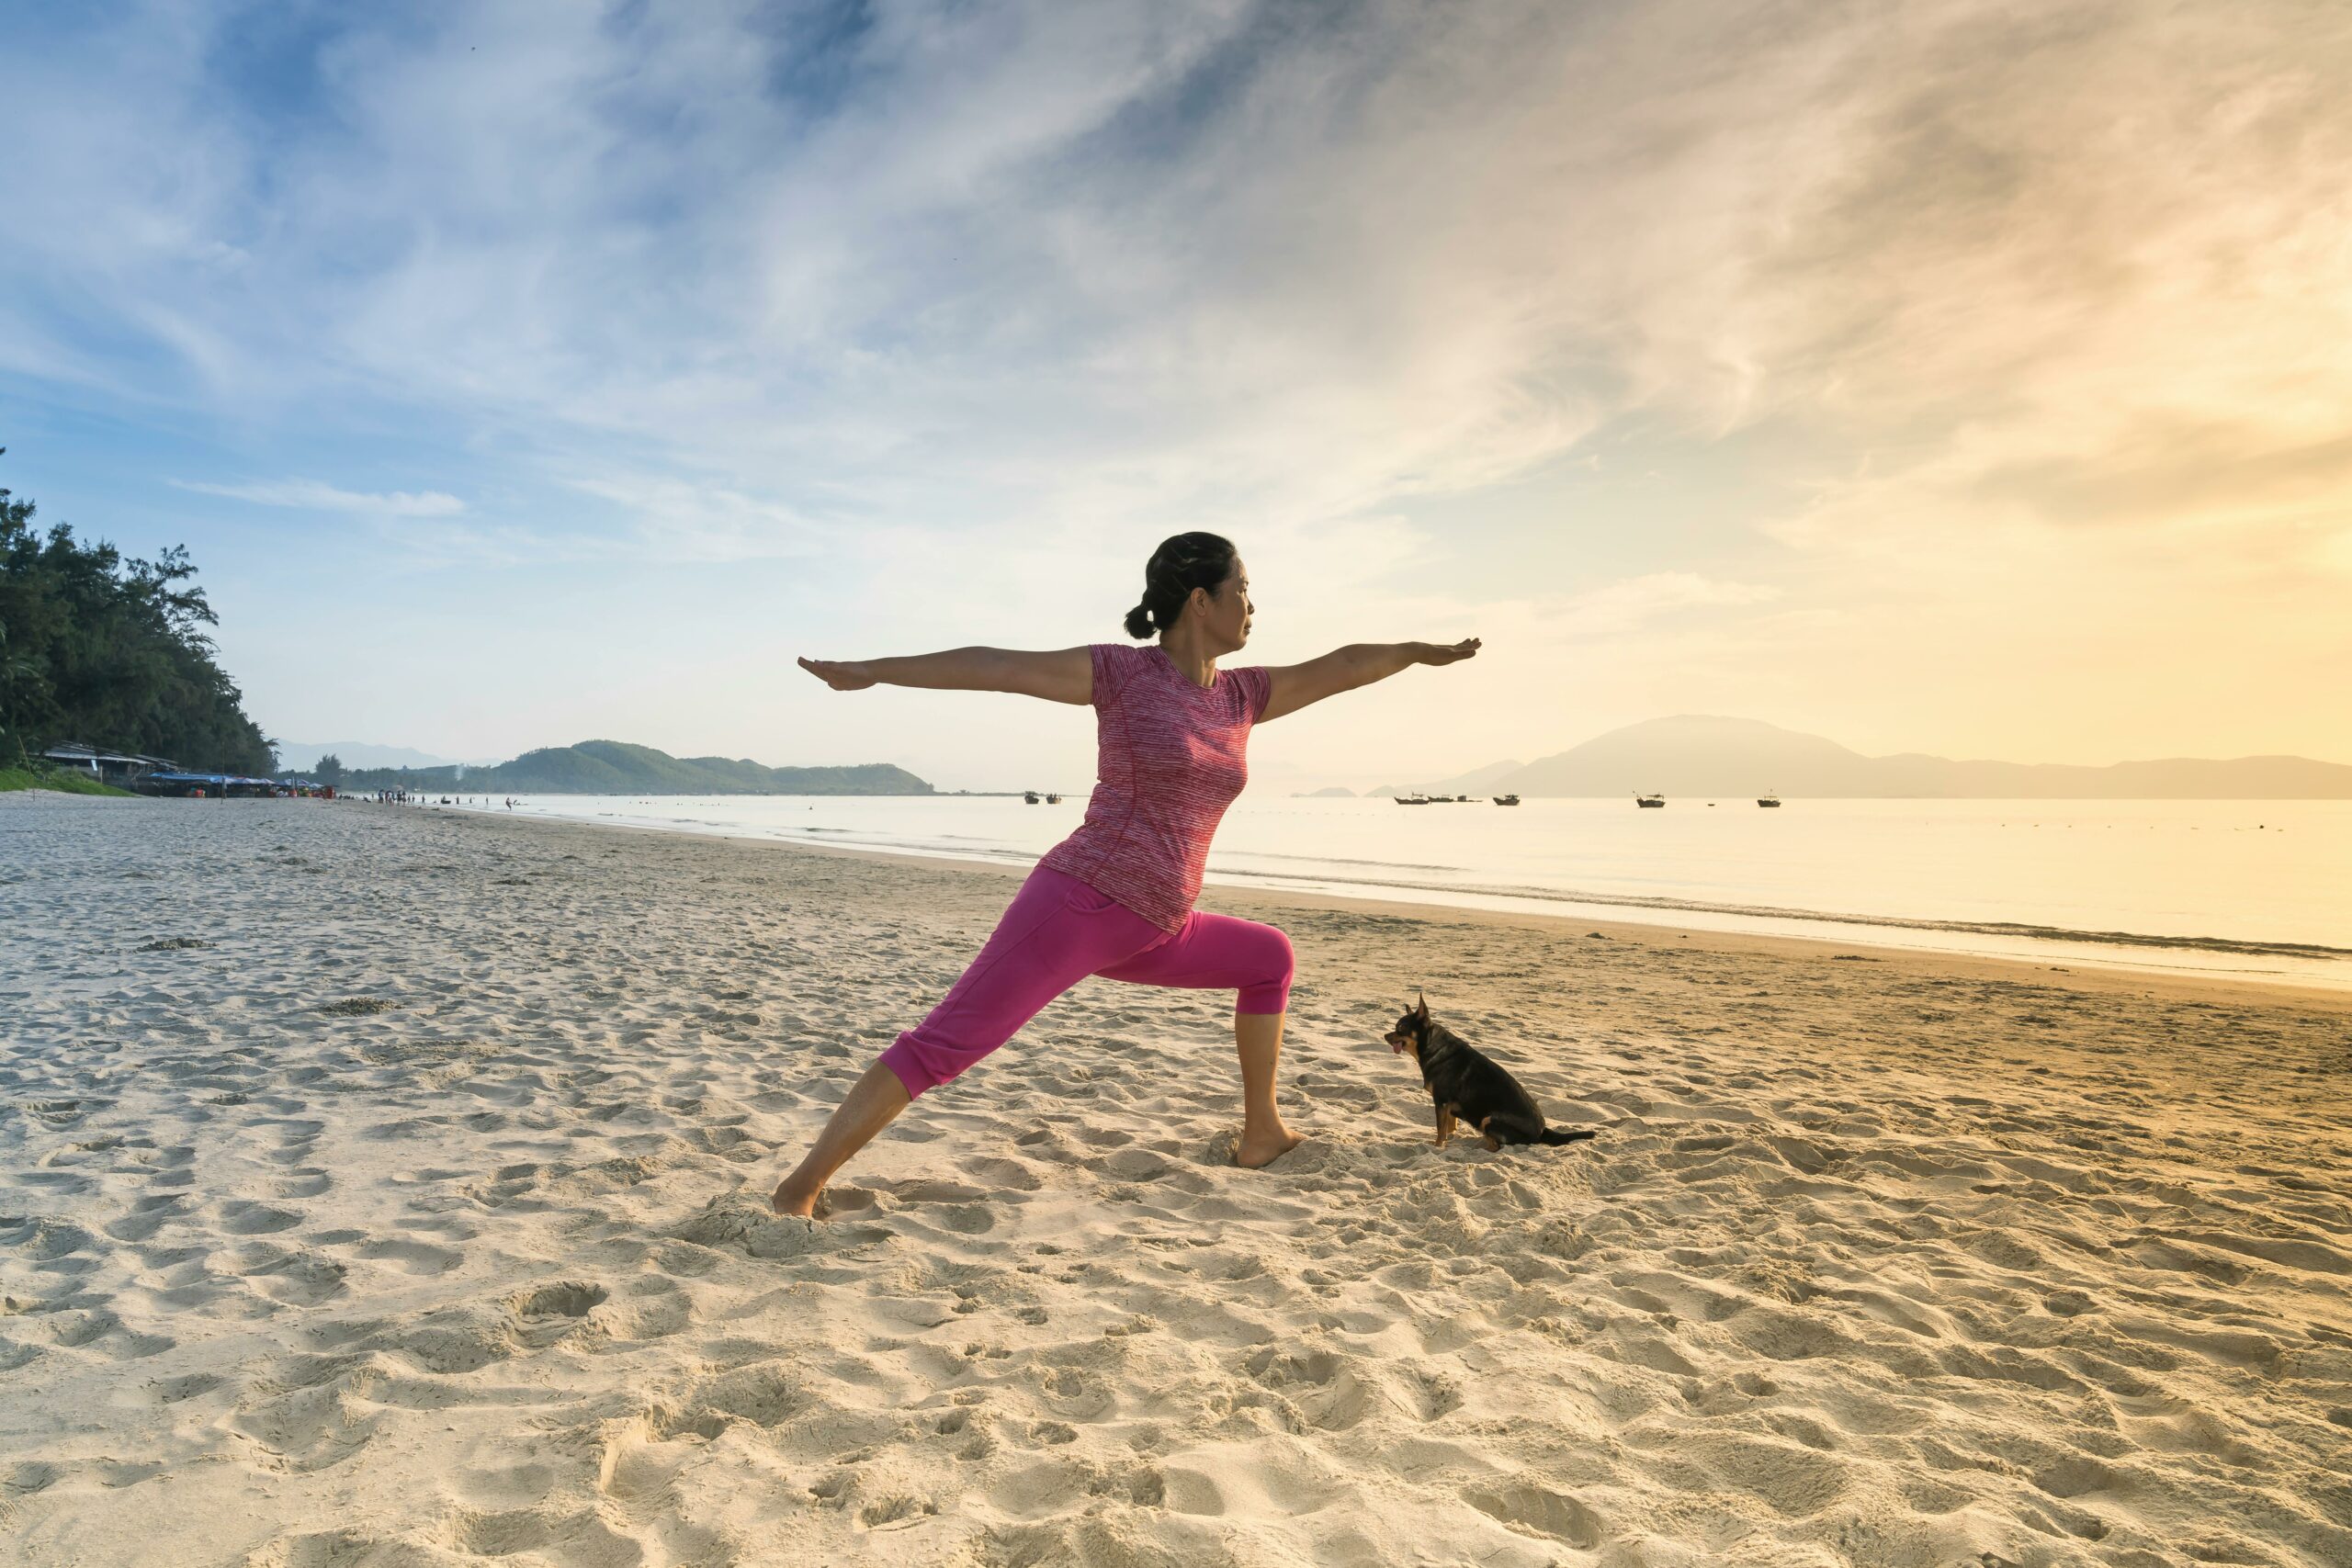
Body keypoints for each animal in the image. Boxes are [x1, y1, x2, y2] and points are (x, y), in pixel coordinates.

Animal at [1374, 991, 1599, 1152]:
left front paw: (1437, 1147)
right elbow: (1450, 1127)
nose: (1384, 1035)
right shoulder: (1448, 1106)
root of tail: (1541, 1132)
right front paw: (1450, 1140)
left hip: (1488, 1119)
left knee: (1497, 1146)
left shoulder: (1441, 1102)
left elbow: (1440, 1130)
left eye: (1400, 1028)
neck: (1431, 1047)